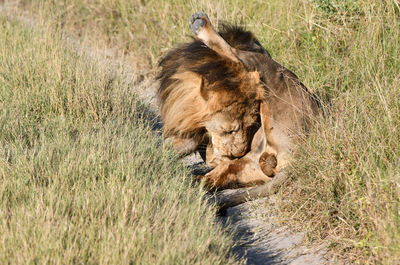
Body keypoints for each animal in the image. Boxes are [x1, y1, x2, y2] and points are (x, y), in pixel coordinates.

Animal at [156, 12, 318, 189]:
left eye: (234, 130)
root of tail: (295, 159)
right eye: (230, 131)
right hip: (246, 165)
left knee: (235, 55)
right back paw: (189, 180)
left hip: (268, 76)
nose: (237, 154)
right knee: (212, 178)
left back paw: (200, 23)